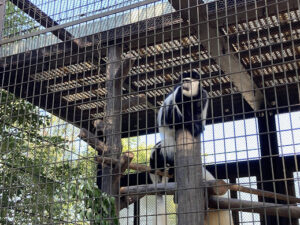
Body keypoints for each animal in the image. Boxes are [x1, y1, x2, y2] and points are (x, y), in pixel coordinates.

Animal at [149, 71, 232, 225]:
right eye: (183, 81)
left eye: (188, 80)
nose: (184, 84)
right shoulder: (178, 94)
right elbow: (172, 115)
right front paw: (192, 125)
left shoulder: (203, 96)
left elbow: (199, 109)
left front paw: (197, 124)